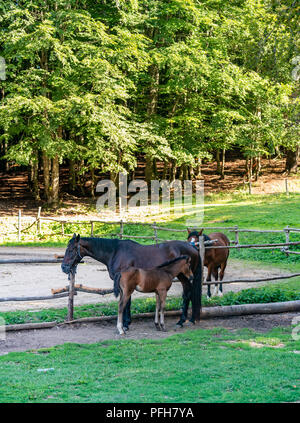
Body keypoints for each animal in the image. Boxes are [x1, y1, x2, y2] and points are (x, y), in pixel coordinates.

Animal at [60, 235, 202, 332]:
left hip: (184, 275)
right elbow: (126, 302)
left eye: (72, 249)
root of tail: (193, 247)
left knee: (187, 293)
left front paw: (125, 324)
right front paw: (125, 323)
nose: (64, 267)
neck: (114, 252)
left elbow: (127, 303)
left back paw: (181, 321)